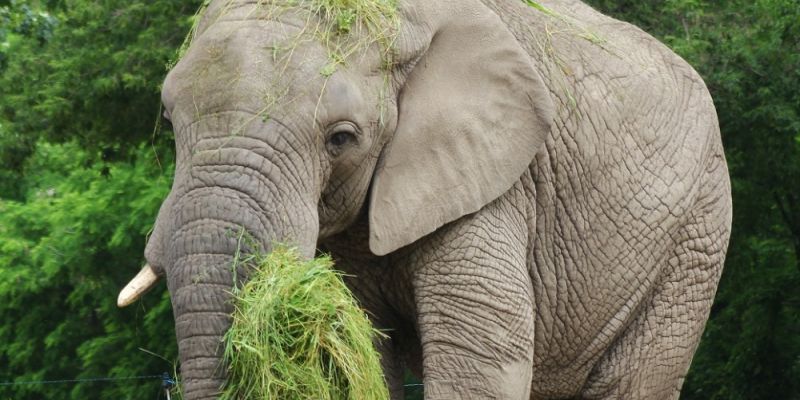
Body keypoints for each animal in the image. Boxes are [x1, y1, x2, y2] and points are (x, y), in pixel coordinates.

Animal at [117, 0, 732, 398]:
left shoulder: (495, 181)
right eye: (169, 118)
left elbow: (480, 358)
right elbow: (367, 354)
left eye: (342, 138)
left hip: (696, 237)